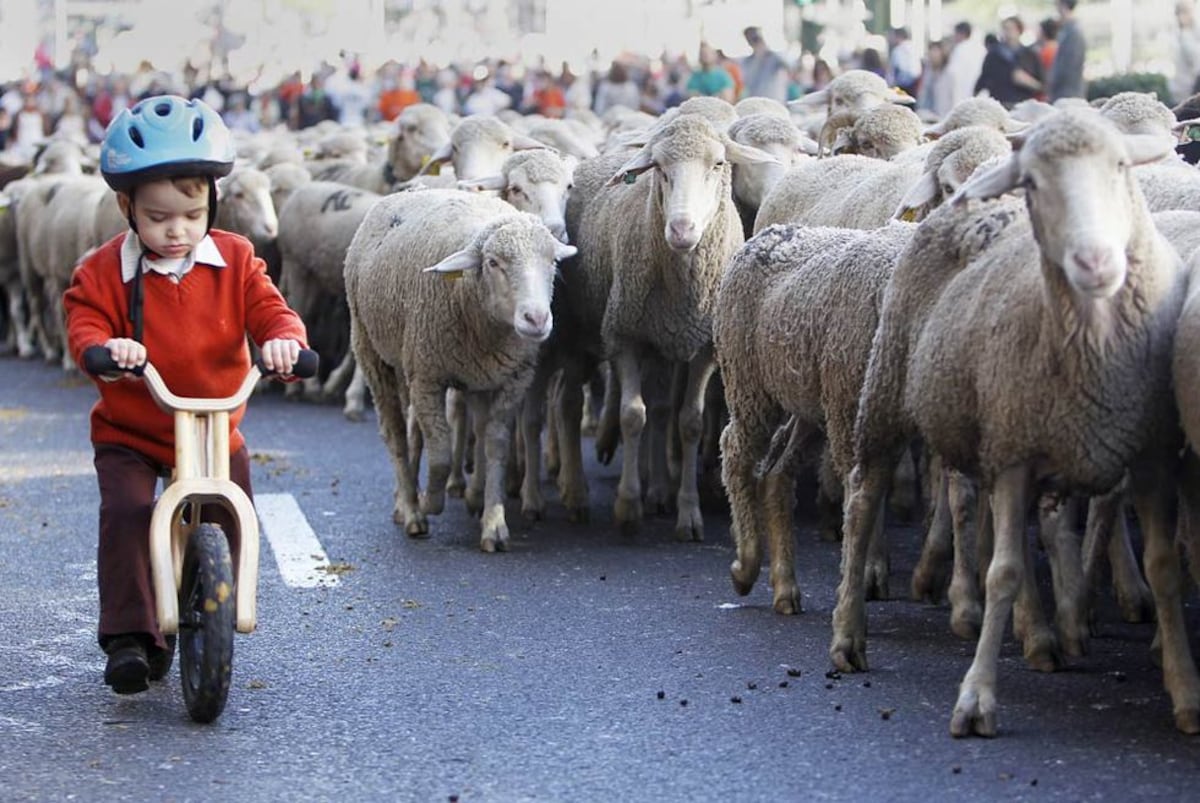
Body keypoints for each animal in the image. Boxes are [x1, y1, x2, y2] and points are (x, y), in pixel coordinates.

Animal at [345, 188, 573, 552]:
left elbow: (496, 445)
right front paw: (429, 503)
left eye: (552, 262)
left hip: (458, 373)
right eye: (493, 263)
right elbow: (439, 452)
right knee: (396, 433)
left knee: (423, 430)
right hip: (373, 351)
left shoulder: (513, 380)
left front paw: (493, 524)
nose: (537, 319)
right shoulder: (427, 377)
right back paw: (410, 509)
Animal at [835, 109, 1200, 734]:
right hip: (889, 389)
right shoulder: (1015, 455)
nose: (1094, 262)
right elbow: (1001, 572)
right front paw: (976, 698)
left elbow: (1164, 568)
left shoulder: (1152, 456)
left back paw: (1040, 636)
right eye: (1032, 182)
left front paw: (1185, 692)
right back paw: (848, 633)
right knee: (864, 499)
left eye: (1121, 165)